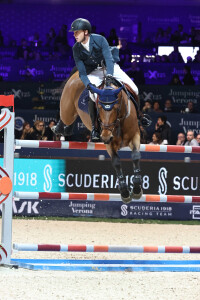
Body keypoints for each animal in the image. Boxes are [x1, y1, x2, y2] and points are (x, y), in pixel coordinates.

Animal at [59, 69, 142, 204]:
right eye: (98, 108)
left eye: (116, 108)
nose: (105, 136)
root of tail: (76, 73)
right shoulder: (110, 144)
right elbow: (116, 162)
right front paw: (124, 192)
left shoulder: (135, 136)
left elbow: (135, 156)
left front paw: (137, 188)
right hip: (67, 109)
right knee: (66, 117)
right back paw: (60, 128)